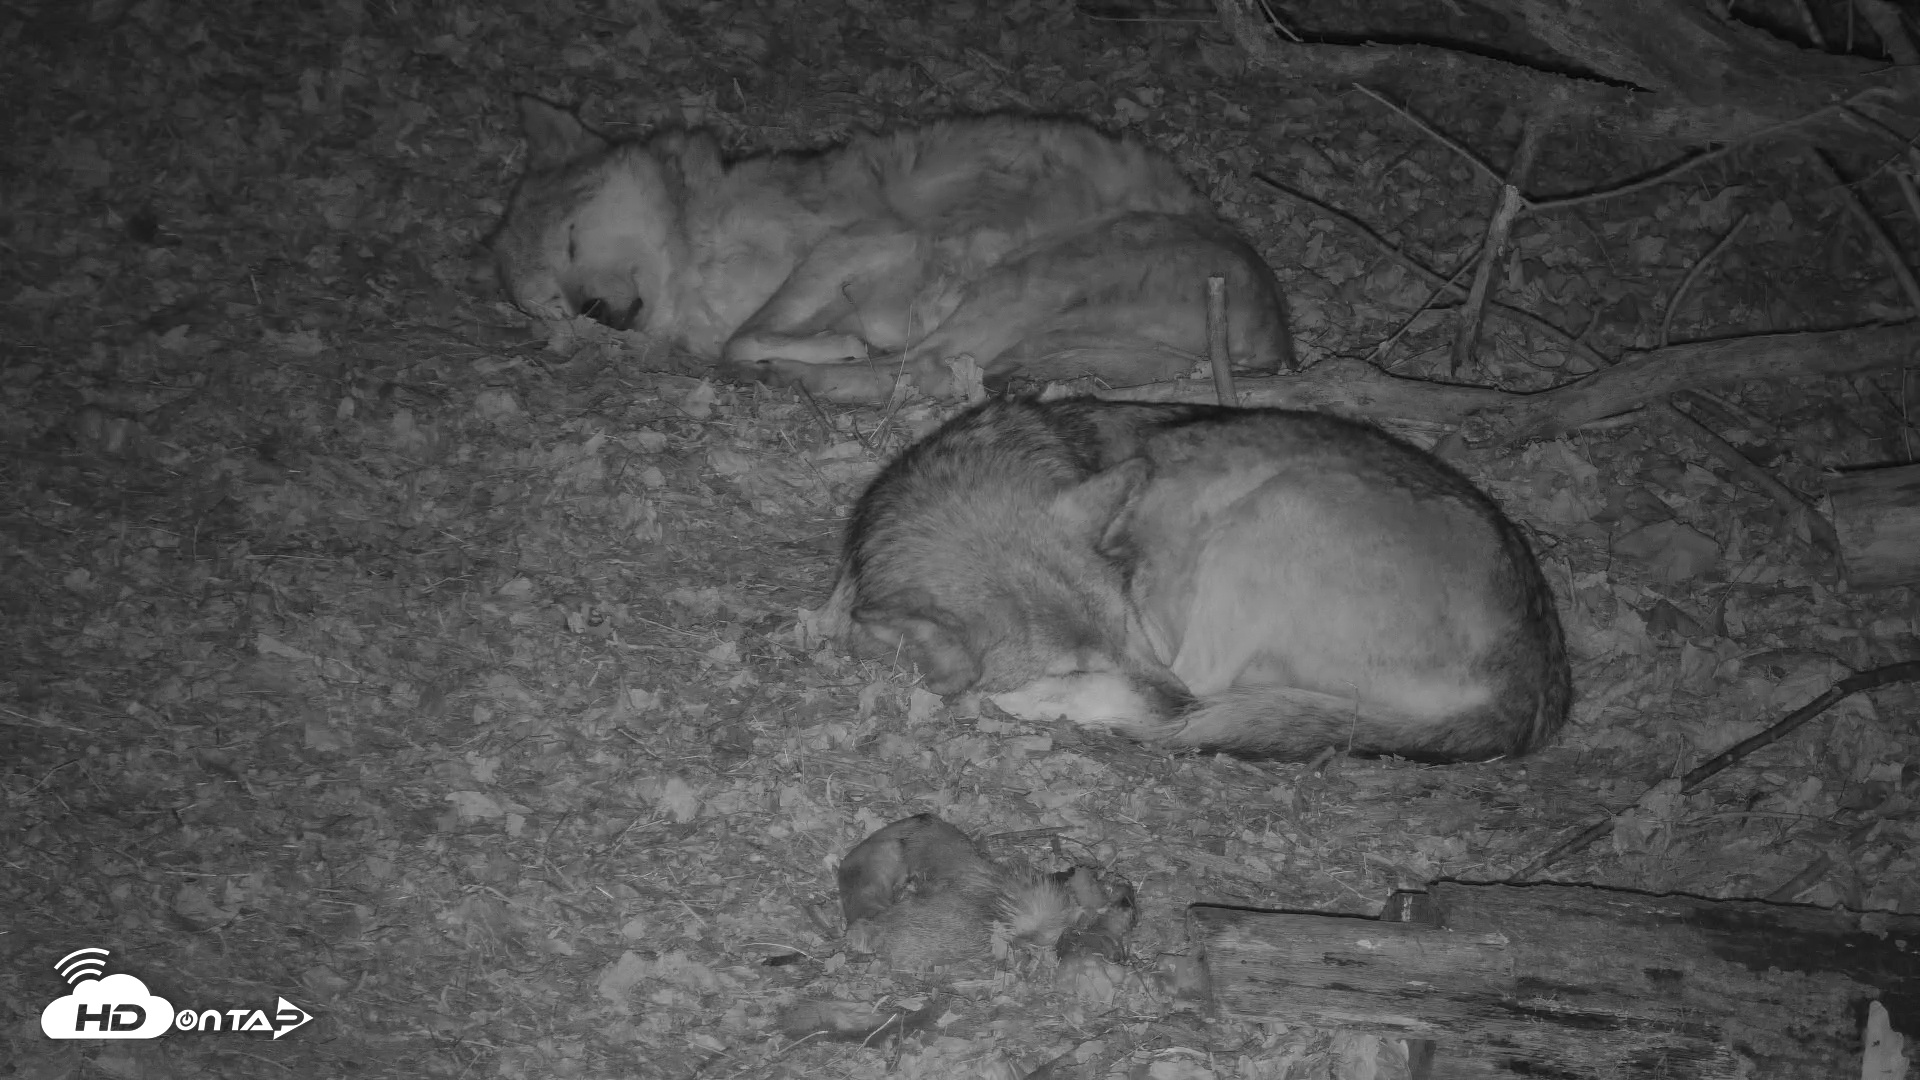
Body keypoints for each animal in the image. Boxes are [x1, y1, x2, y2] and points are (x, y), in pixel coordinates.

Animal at [492, 100, 1290, 401]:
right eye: (549, 305)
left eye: (570, 237)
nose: (597, 310)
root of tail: (1277, 343)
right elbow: (743, 335)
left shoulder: (866, 241)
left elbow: (747, 335)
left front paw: (840, 341)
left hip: (1042, 269)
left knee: (929, 369)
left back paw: (812, 370)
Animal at [827, 398, 1570, 762]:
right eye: (1073, 665)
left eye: (1127, 625)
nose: (1173, 707)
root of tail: (1532, 688)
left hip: (1280, 507)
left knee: (1207, 681)